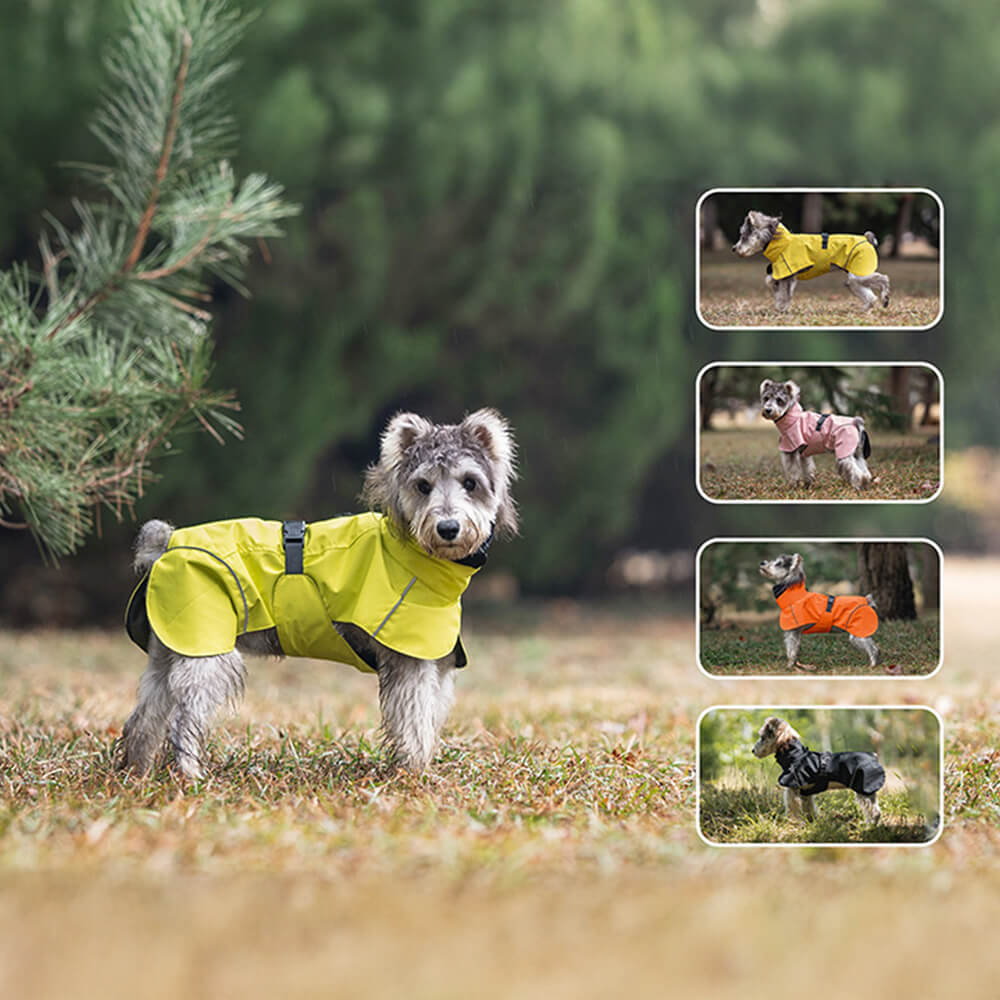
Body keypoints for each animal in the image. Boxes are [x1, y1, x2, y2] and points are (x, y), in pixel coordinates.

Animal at [121, 408, 520, 780]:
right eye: (423, 486)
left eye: (470, 482)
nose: (448, 528)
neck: (415, 554)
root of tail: (166, 544)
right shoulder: (409, 663)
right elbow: (414, 722)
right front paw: (415, 773)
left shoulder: (436, 663)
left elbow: (430, 716)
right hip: (207, 654)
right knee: (182, 721)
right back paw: (190, 776)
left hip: (170, 654)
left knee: (143, 719)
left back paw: (136, 773)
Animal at [736, 213, 892, 314]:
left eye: (743, 235)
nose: (734, 248)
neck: (782, 243)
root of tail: (867, 239)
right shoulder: (783, 274)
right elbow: (773, 284)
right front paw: (780, 306)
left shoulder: (787, 275)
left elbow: (784, 293)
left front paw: (781, 309)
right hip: (854, 279)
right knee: (870, 297)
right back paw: (865, 309)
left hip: (859, 274)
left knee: (884, 278)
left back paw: (885, 299)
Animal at [752, 716, 884, 824]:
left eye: (762, 738)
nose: (753, 750)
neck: (795, 755)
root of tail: (874, 756)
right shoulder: (805, 793)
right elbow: (808, 807)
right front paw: (811, 821)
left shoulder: (792, 789)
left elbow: (792, 807)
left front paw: (793, 822)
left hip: (863, 789)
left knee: (874, 811)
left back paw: (869, 826)